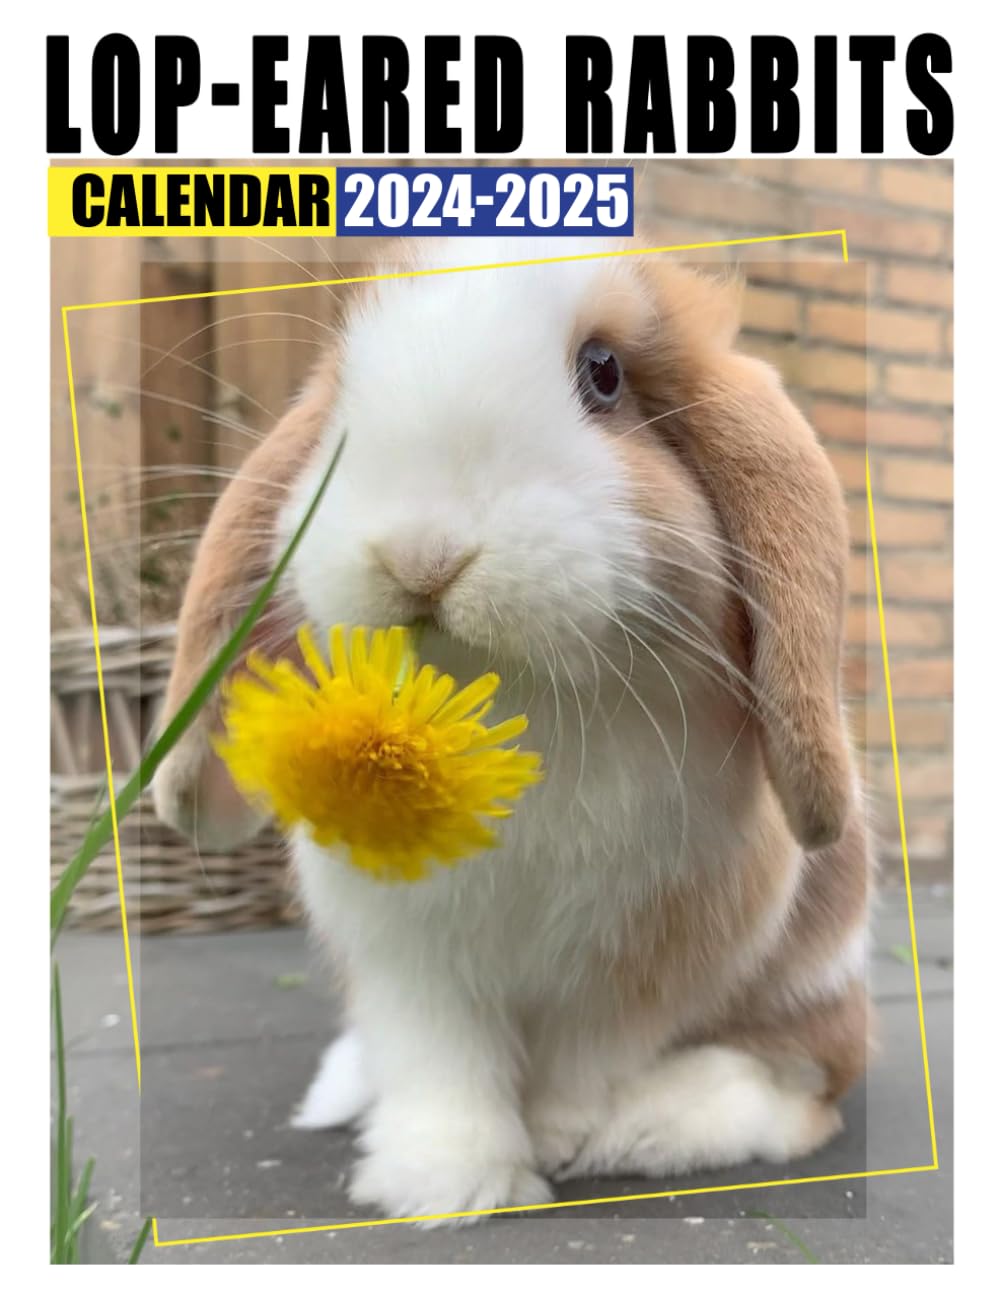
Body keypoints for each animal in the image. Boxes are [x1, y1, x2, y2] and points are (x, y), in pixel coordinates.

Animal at [152, 236, 873, 1225]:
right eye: (342, 386)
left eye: (604, 373)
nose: (420, 552)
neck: (507, 708)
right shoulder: (406, 954)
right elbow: (439, 1061)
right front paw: (443, 1185)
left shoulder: (639, 951)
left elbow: (584, 1056)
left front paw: (560, 1139)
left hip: (816, 997)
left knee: (805, 1090)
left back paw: (646, 1131)